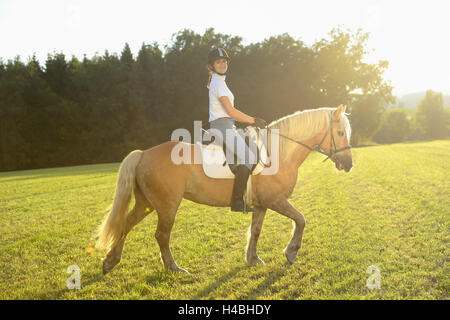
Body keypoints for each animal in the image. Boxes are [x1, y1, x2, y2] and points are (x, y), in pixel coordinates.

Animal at [96, 105, 354, 276]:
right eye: (340, 133)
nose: (349, 164)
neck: (278, 153)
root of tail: (143, 153)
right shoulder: (276, 200)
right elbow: (301, 219)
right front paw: (291, 253)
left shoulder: (261, 205)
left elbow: (256, 231)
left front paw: (253, 258)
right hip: (167, 206)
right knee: (161, 235)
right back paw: (174, 268)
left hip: (147, 203)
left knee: (126, 224)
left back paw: (110, 262)